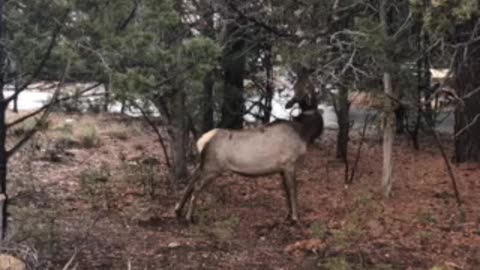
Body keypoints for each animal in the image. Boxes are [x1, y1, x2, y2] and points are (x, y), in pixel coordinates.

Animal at [174, 108, 324, 224]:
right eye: (316, 117)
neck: (303, 134)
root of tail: (202, 141)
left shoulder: (282, 169)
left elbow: (286, 191)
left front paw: (288, 215)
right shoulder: (289, 163)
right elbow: (293, 191)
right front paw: (294, 218)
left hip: (204, 164)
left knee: (191, 180)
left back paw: (177, 210)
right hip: (212, 168)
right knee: (197, 186)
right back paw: (189, 217)